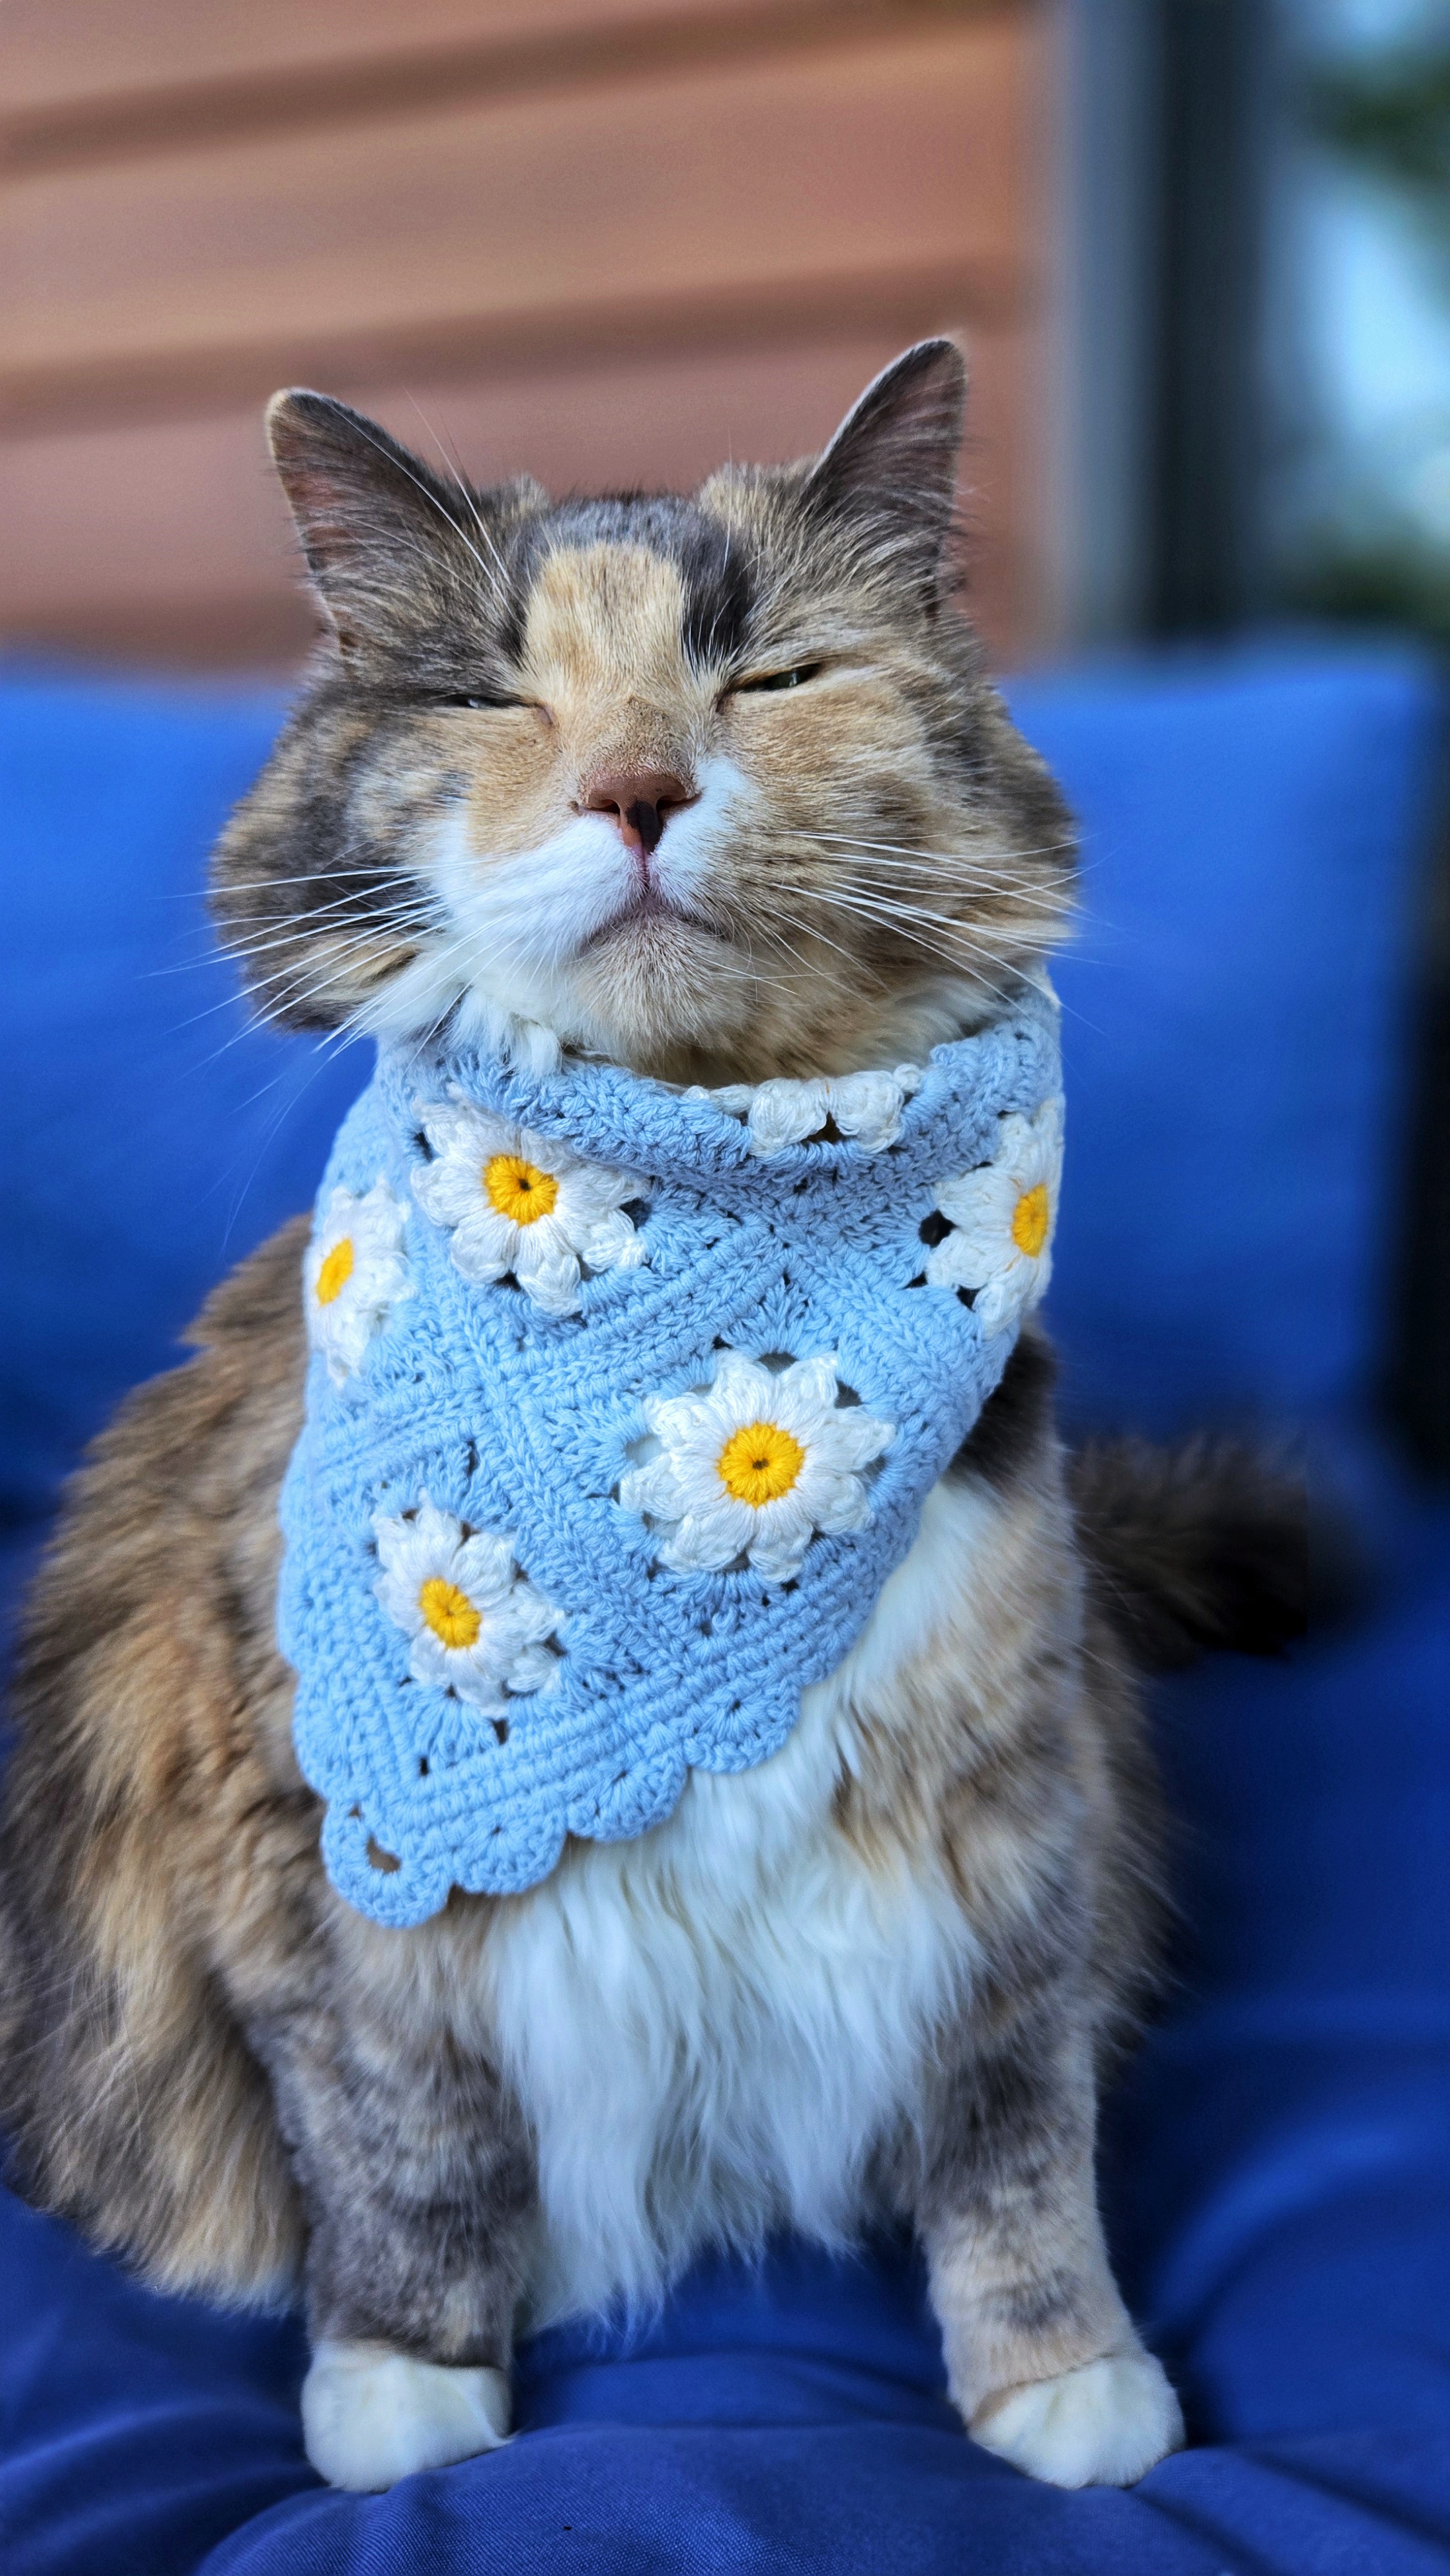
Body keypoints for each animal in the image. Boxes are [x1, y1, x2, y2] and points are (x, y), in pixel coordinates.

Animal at [0, 342, 1303, 2497]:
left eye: (767, 677)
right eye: (490, 697)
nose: (634, 793)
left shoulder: (1013, 1821)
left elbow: (1018, 2139)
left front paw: (1061, 2383)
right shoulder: (309, 1867)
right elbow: (404, 2144)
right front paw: (407, 2396)